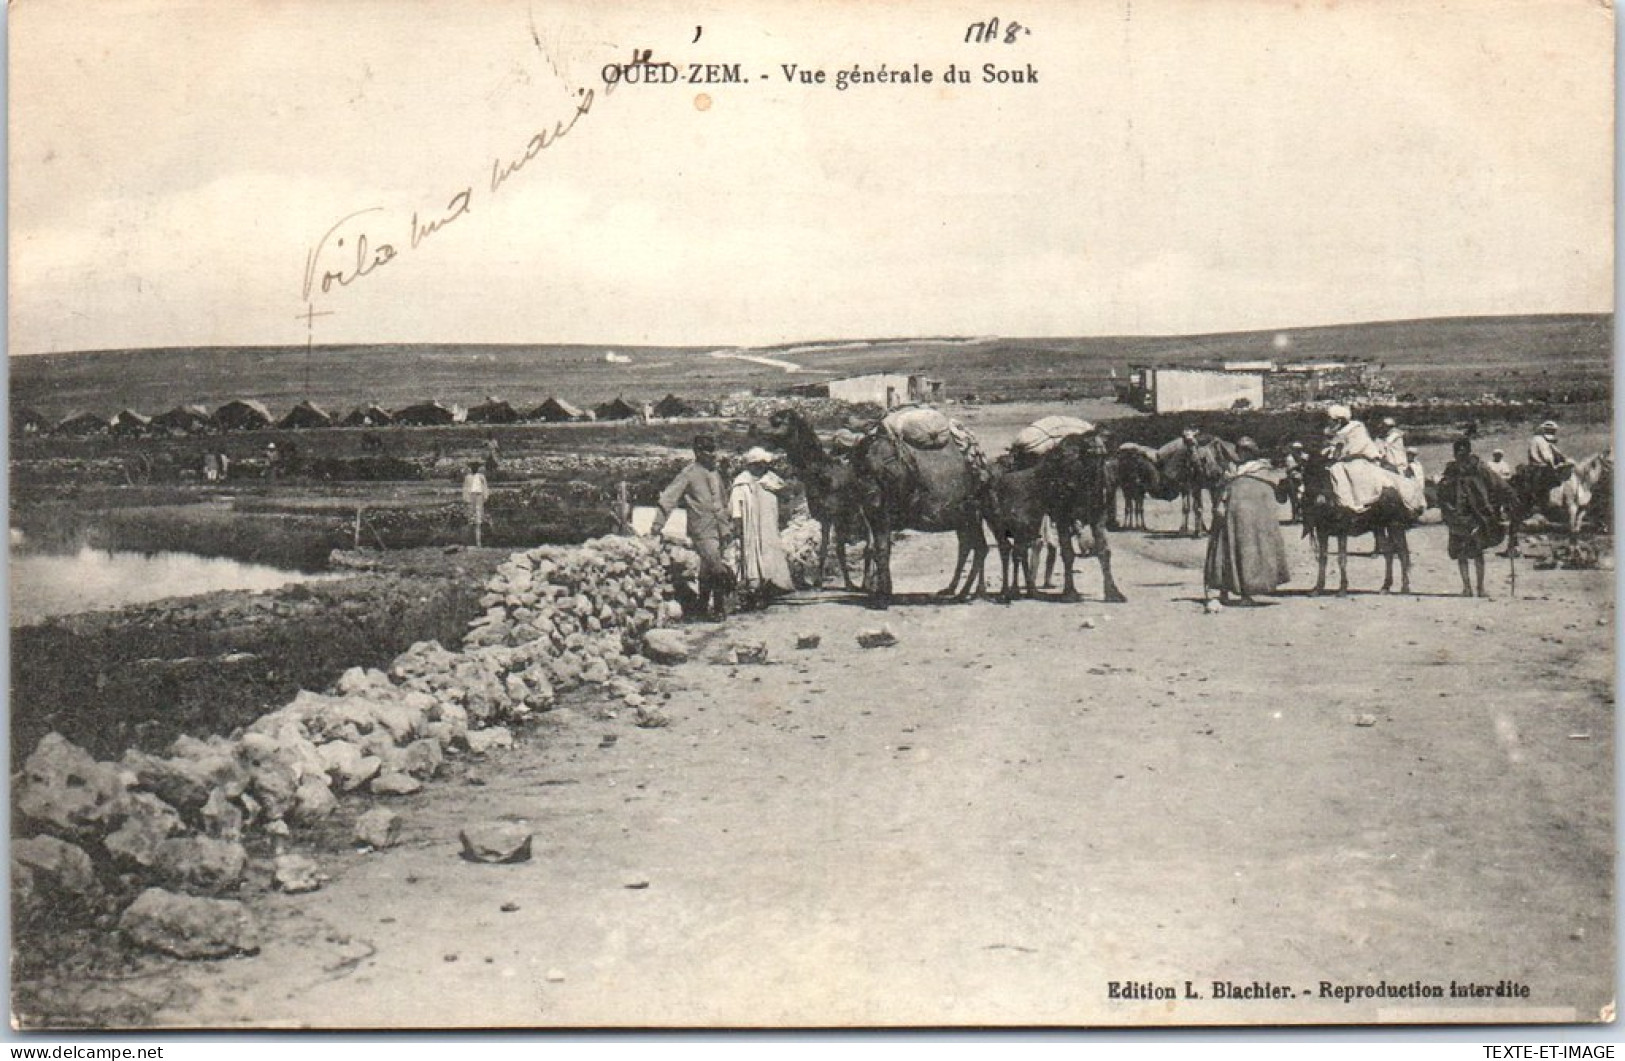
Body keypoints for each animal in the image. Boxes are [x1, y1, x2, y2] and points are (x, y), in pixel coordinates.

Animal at [763, 407, 877, 591]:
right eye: (772, 419)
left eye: (778, 422)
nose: (754, 428)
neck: (821, 476)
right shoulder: (824, 517)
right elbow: (824, 549)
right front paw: (818, 583)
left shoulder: (838, 516)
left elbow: (839, 549)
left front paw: (849, 584)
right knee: (870, 542)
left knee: (871, 544)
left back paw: (868, 583)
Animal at [1300, 448, 1417, 591]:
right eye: (1306, 476)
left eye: (1325, 473)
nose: (1320, 501)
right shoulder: (1321, 532)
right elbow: (1323, 558)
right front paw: (1318, 588)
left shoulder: (1342, 531)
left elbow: (1341, 558)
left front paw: (1342, 588)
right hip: (1380, 527)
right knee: (1388, 552)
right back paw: (1385, 586)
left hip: (1395, 524)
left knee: (1402, 552)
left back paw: (1404, 587)